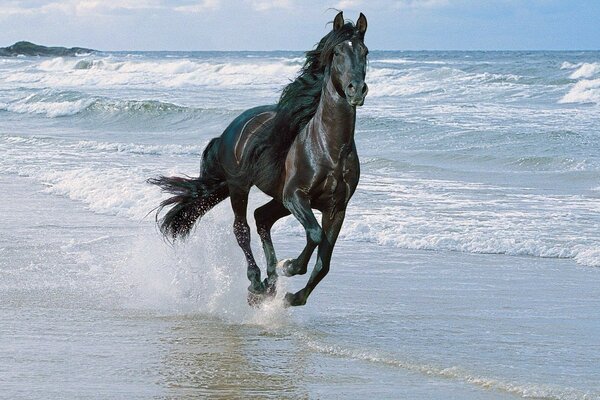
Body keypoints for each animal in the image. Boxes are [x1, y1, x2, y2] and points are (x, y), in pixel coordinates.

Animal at [148, 11, 368, 306]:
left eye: (365, 52)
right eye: (337, 52)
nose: (357, 90)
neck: (329, 149)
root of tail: (231, 129)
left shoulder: (337, 208)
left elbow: (324, 262)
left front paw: (293, 296)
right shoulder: (296, 196)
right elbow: (314, 235)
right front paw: (290, 266)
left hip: (277, 199)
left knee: (262, 217)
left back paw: (270, 282)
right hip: (240, 187)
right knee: (242, 228)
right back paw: (257, 283)